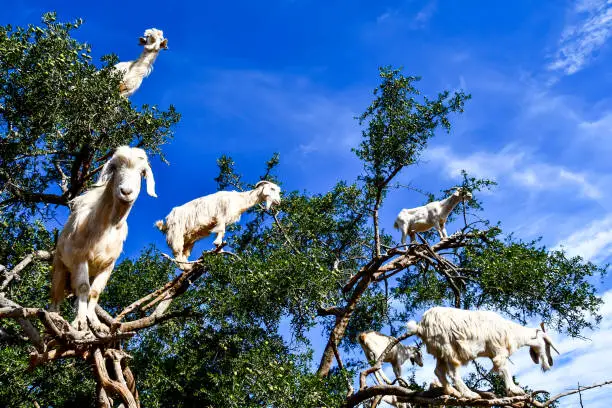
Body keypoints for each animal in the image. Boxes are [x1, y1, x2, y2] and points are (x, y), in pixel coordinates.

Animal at [50, 147, 157, 332]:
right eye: (114, 167)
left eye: (142, 172)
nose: (126, 192)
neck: (107, 227)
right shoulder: (80, 258)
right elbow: (83, 288)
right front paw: (80, 322)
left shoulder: (107, 265)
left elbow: (94, 292)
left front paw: (94, 322)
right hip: (60, 267)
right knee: (56, 298)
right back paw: (55, 319)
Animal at [406, 306, 560, 398]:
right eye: (546, 343)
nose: (550, 364)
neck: (511, 331)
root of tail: (421, 326)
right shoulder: (498, 348)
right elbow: (504, 368)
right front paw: (514, 390)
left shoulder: (493, 351)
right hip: (447, 347)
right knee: (453, 373)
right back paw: (469, 394)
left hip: (440, 351)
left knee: (439, 371)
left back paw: (452, 391)